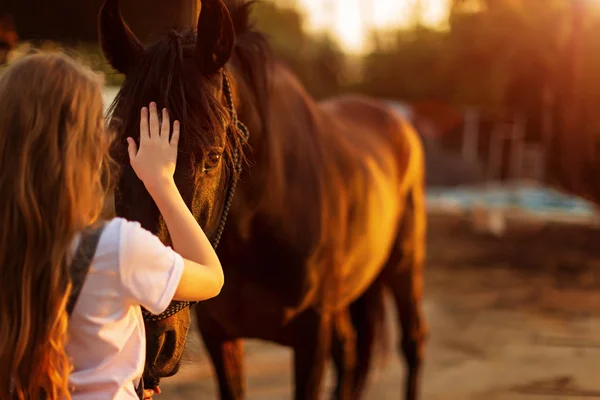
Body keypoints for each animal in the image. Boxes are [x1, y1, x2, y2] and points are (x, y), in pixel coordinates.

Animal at [99, 1, 426, 398]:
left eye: (213, 157)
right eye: (117, 155)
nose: (149, 339)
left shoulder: (312, 335)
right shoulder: (220, 335)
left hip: (405, 266)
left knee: (411, 342)